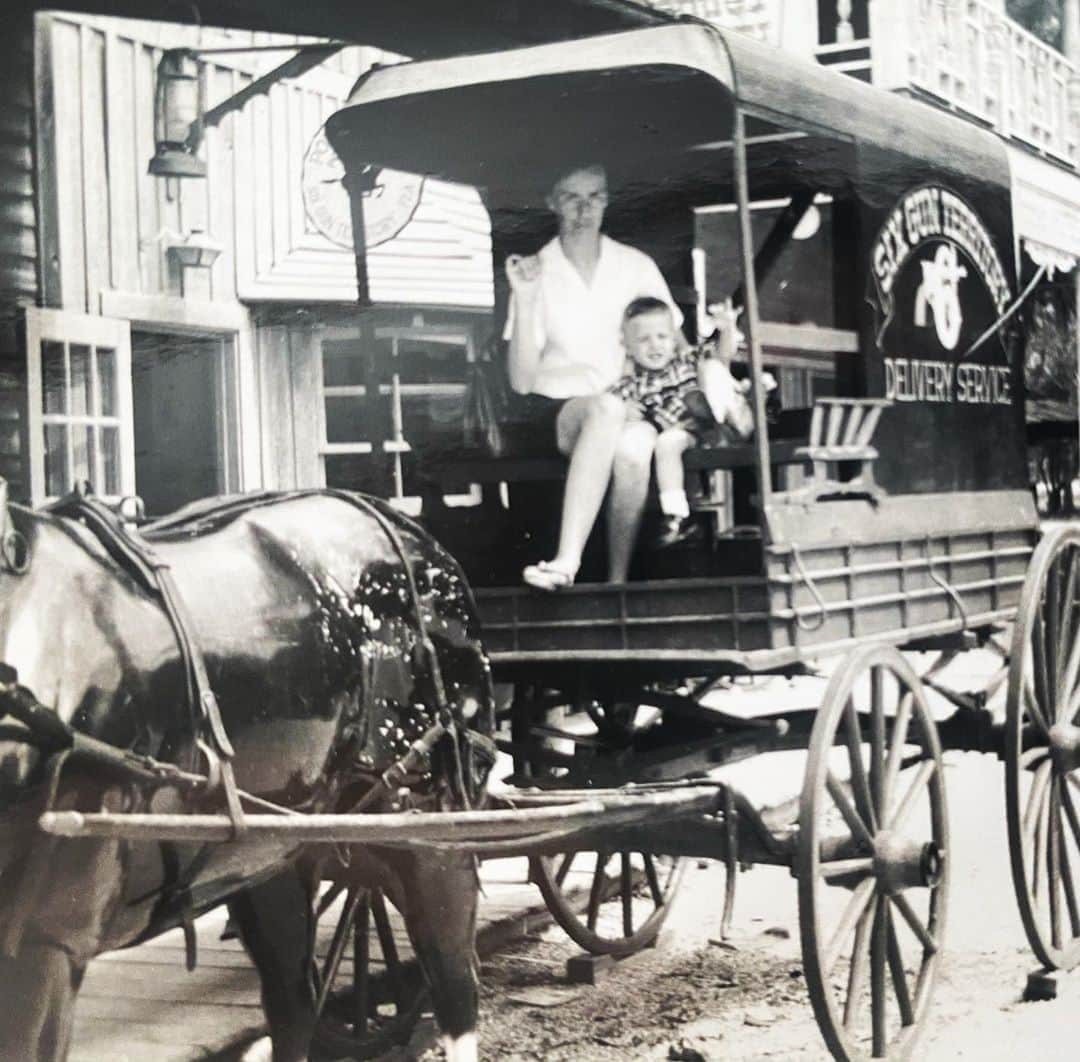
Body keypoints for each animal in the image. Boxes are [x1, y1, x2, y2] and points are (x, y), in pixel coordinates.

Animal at [0, 490, 494, 1062]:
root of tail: (411, 530)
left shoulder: (46, 938)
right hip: (270, 853)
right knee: (294, 1000)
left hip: (427, 822)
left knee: (454, 983)